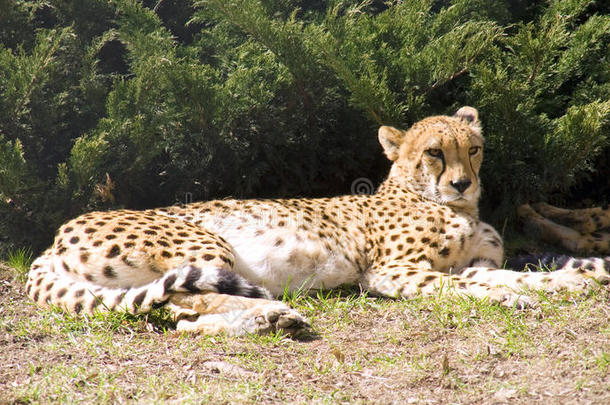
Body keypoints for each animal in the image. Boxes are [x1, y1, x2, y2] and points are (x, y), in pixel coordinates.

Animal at [25, 106, 608, 334]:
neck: (453, 206)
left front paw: (569, 279)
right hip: (205, 244)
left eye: (474, 149)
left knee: (180, 313)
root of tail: (54, 238)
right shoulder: (391, 273)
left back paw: (269, 319)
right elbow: (466, 288)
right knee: (188, 300)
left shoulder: (468, 263)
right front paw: (509, 298)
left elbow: (510, 272)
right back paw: (270, 313)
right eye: (435, 153)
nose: (462, 183)